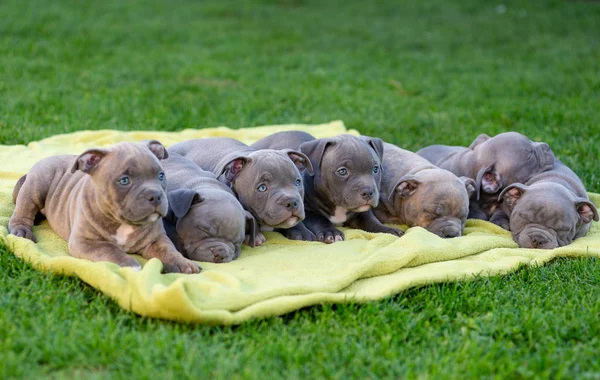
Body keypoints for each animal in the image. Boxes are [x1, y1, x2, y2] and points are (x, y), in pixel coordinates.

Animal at [9, 140, 200, 274]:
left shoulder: (157, 240)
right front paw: (130, 265)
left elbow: (169, 250)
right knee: (23, 210)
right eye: (124, 181)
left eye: (161, 175)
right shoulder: (85, 242)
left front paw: (184, 263)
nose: (155, 196)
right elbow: (109, 249)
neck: (124, 223)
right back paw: (22, 231)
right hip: (37, 184)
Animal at [251, 131, 400, 243]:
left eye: (375, 169)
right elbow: (319, 219)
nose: (368, 192)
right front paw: (331, 232)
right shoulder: (307, 211)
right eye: (342, 171)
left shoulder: (361, 212)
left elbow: (370, 220)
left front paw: (387, 230)